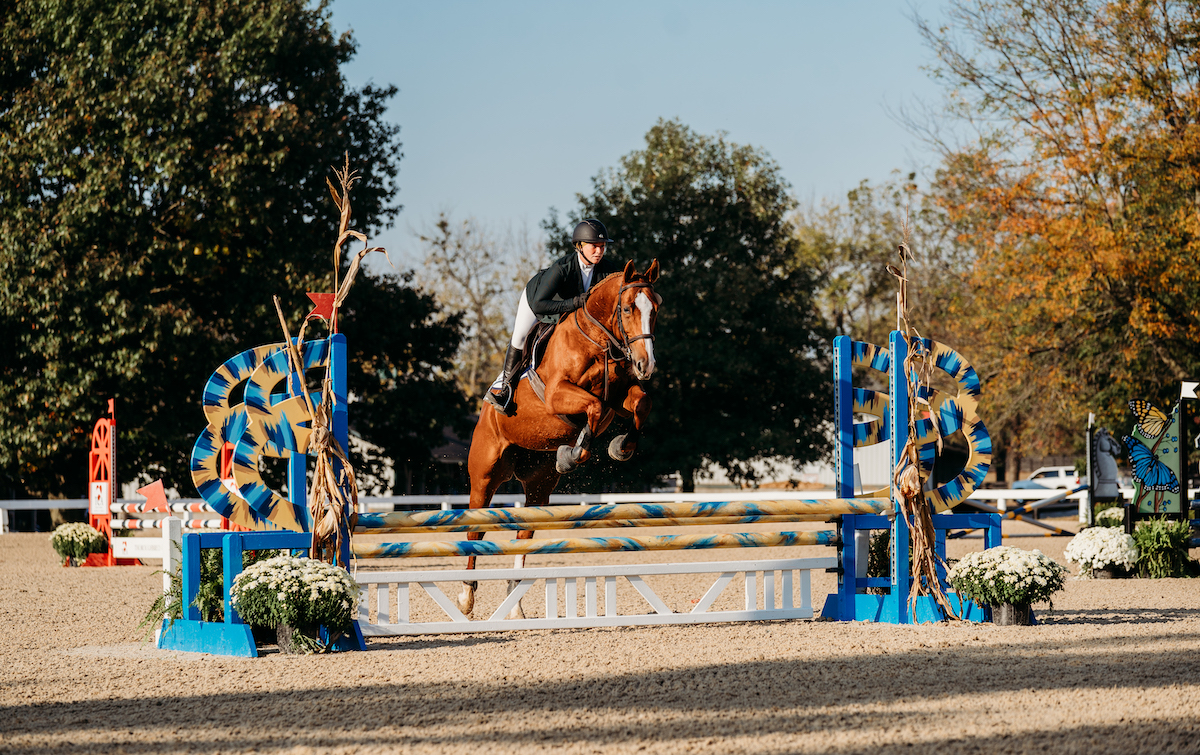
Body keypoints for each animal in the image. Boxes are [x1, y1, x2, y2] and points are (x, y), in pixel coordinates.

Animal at [458, 258, 667, 612]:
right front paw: (571, 455)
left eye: (656, 308)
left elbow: (641, 403)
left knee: (524, 533)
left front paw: (619, 448)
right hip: (485, 473)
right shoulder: (557, 395)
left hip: (538, 483)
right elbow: (594, 407)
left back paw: (514, 606)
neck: (596, 340)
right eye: (627, 308)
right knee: (476, 530)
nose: (646, 364)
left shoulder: (618, 398)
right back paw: (466, 596)